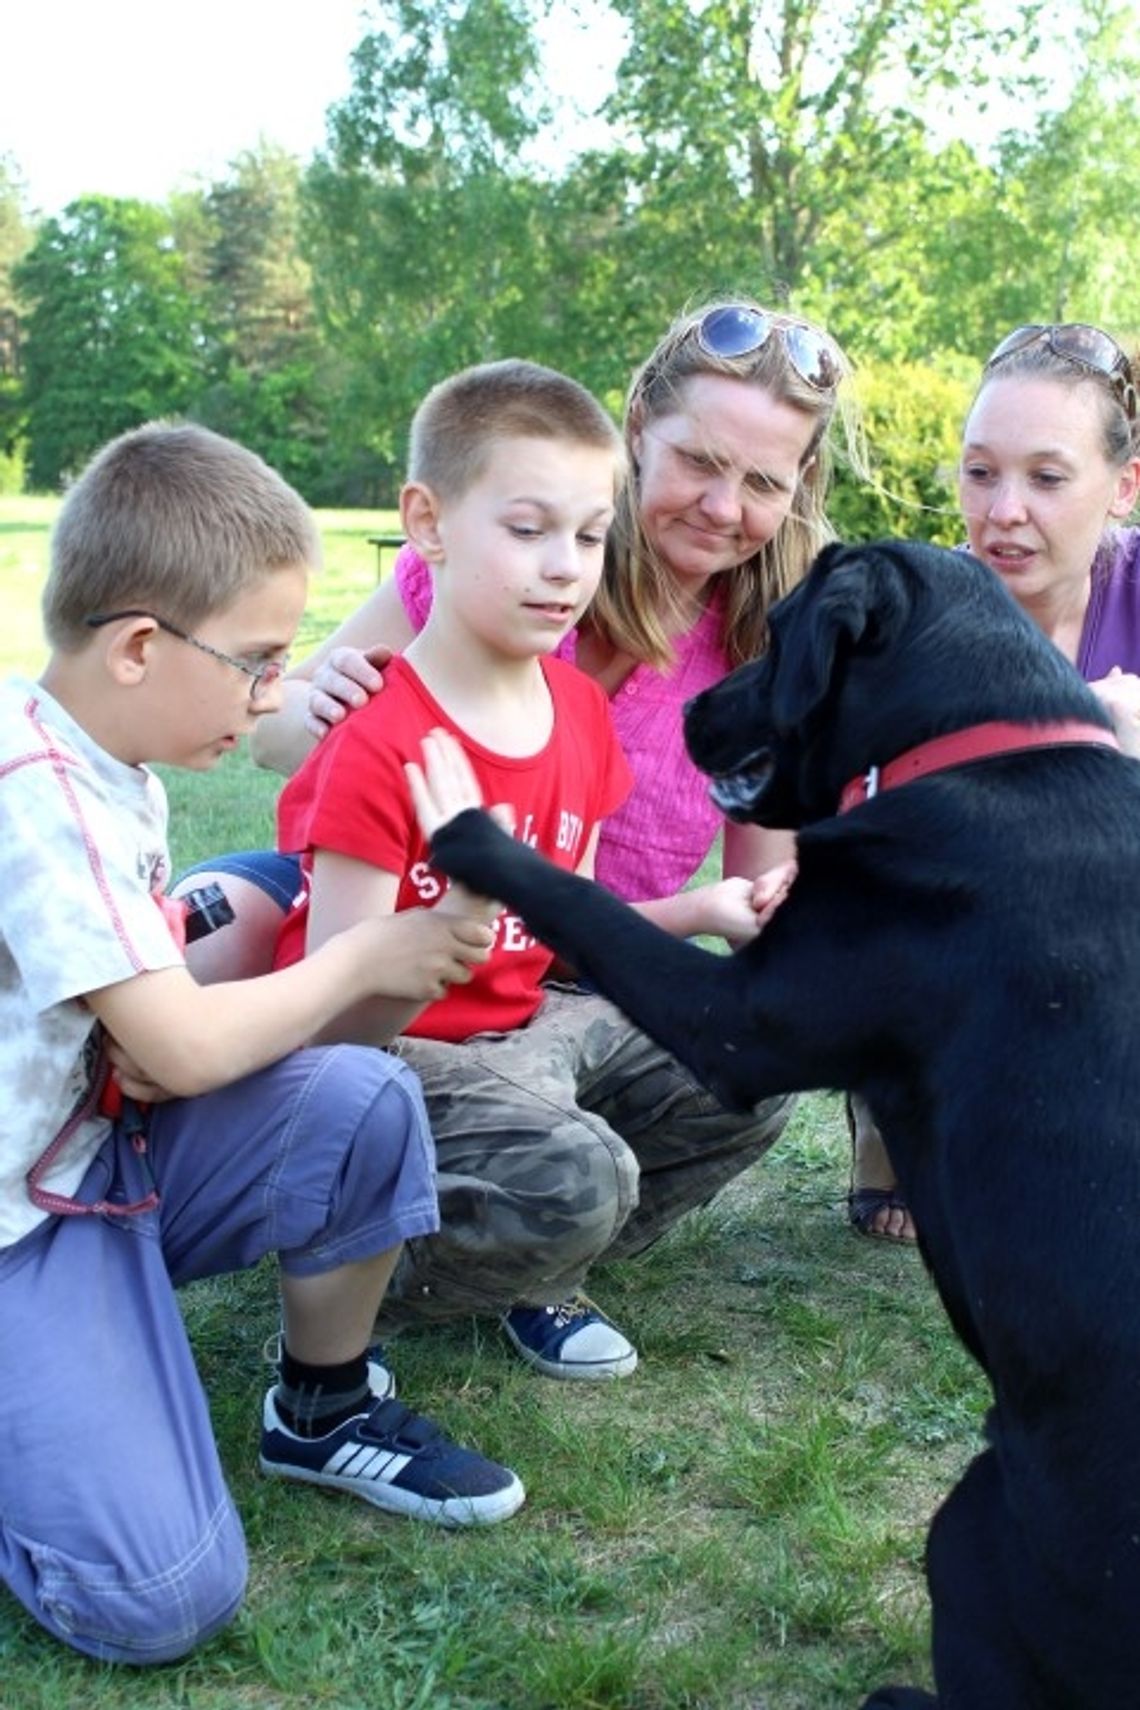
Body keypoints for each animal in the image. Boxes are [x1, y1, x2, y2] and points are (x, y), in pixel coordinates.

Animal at [425, 543, 1140, 1710]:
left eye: (777, 632)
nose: (695, 706)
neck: (984, 742)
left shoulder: (740, 1020)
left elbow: (590, 907)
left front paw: (475, 832)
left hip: (969, 1517)